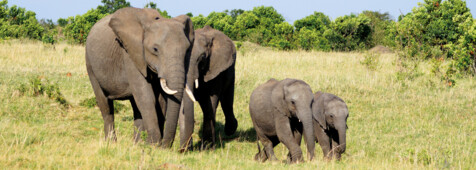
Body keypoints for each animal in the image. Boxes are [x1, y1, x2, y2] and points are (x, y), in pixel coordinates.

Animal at [86, 6, 195, 147]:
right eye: (155, 49)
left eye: (187, 50)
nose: (166, 146)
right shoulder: (130, 52)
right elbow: (146, 97)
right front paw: (153, 145)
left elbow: (160, 99)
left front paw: (152, 145)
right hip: (90, 64)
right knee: (106, 106)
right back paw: (111, 143)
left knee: (136, 107)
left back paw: (136, 144)